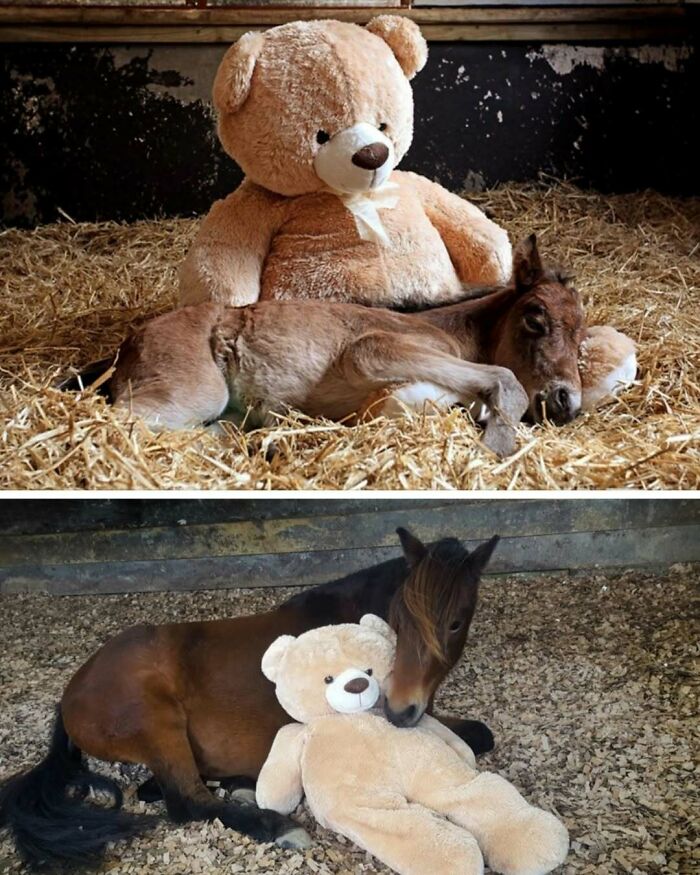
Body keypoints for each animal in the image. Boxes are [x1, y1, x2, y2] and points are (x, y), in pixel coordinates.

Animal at [0, 527, 500, 870]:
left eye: (455, 623)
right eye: (400, 617)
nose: (398, 710)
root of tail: (72, 693)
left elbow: (482, 734)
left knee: (159, 788)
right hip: (156, 720)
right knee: (187, 801)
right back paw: (277, 826)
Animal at [66, 234, 585, 459]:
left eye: (582, 338)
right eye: (535, 317)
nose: (567, 402)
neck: (451, 332)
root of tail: (128, 343)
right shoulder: (374, 350)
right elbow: (504, 381)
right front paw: (497, 444)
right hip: (191, 392)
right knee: (121, 423)